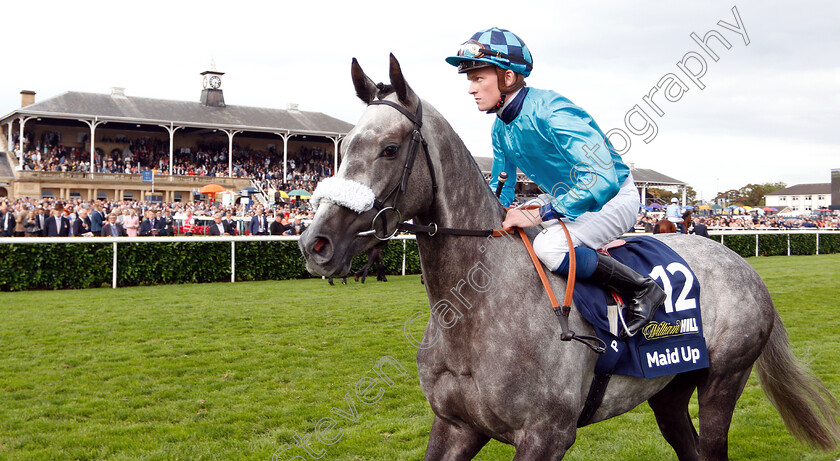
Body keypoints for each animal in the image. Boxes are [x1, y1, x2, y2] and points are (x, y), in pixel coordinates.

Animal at [298, 55, 836, 458]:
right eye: (343, 147)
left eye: (389, 149)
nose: (315, 243)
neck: (477, 311)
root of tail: (743, 265)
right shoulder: (455, 425)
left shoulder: (547, 434)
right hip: (669, 390)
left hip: (724, 379)